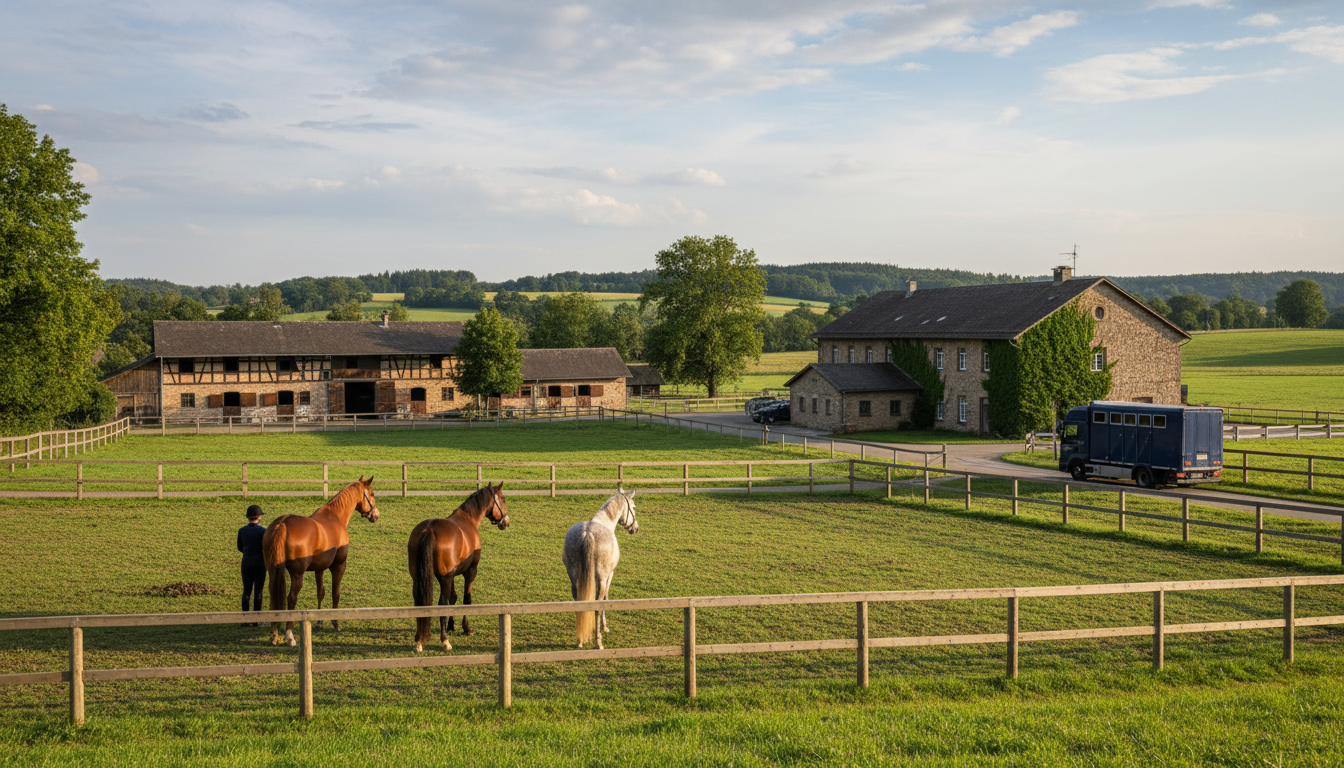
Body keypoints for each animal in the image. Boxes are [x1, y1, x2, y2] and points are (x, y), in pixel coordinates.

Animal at [263, 475, 380, 646]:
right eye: (371, 494)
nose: (376, 515)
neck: (336, 517)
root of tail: (282, 524)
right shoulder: (339, 566)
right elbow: (335, 593)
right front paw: (335, 622)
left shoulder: (319, 568)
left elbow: (321, 593)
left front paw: (319, 622)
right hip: (297, 575)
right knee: (291, 598)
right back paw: (289, 635)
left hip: (273, 571)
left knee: (274, 594)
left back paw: (275, 634)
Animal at [407, 482, 510, 653]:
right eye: (503, 499)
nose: (506, 522)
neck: (468, 519)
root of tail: (429, 529)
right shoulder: (470, 571)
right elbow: (466, 599)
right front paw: (466, 627)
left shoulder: (452, 575)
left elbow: (453, 598)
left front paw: (450, 625)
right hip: (445, 578)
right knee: (442, 604)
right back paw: (444, 641)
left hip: (419, 578)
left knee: (419, 602)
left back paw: (419, 639)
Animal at [563, 489, 639, 649]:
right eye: (633, 507)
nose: (635, 528)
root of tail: (588, 535)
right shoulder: (609, 575)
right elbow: (606, 598)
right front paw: (604, 627)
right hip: (602, 579)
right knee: (597, 606)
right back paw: (598, 642)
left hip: (574, 580)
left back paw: (580, 640)